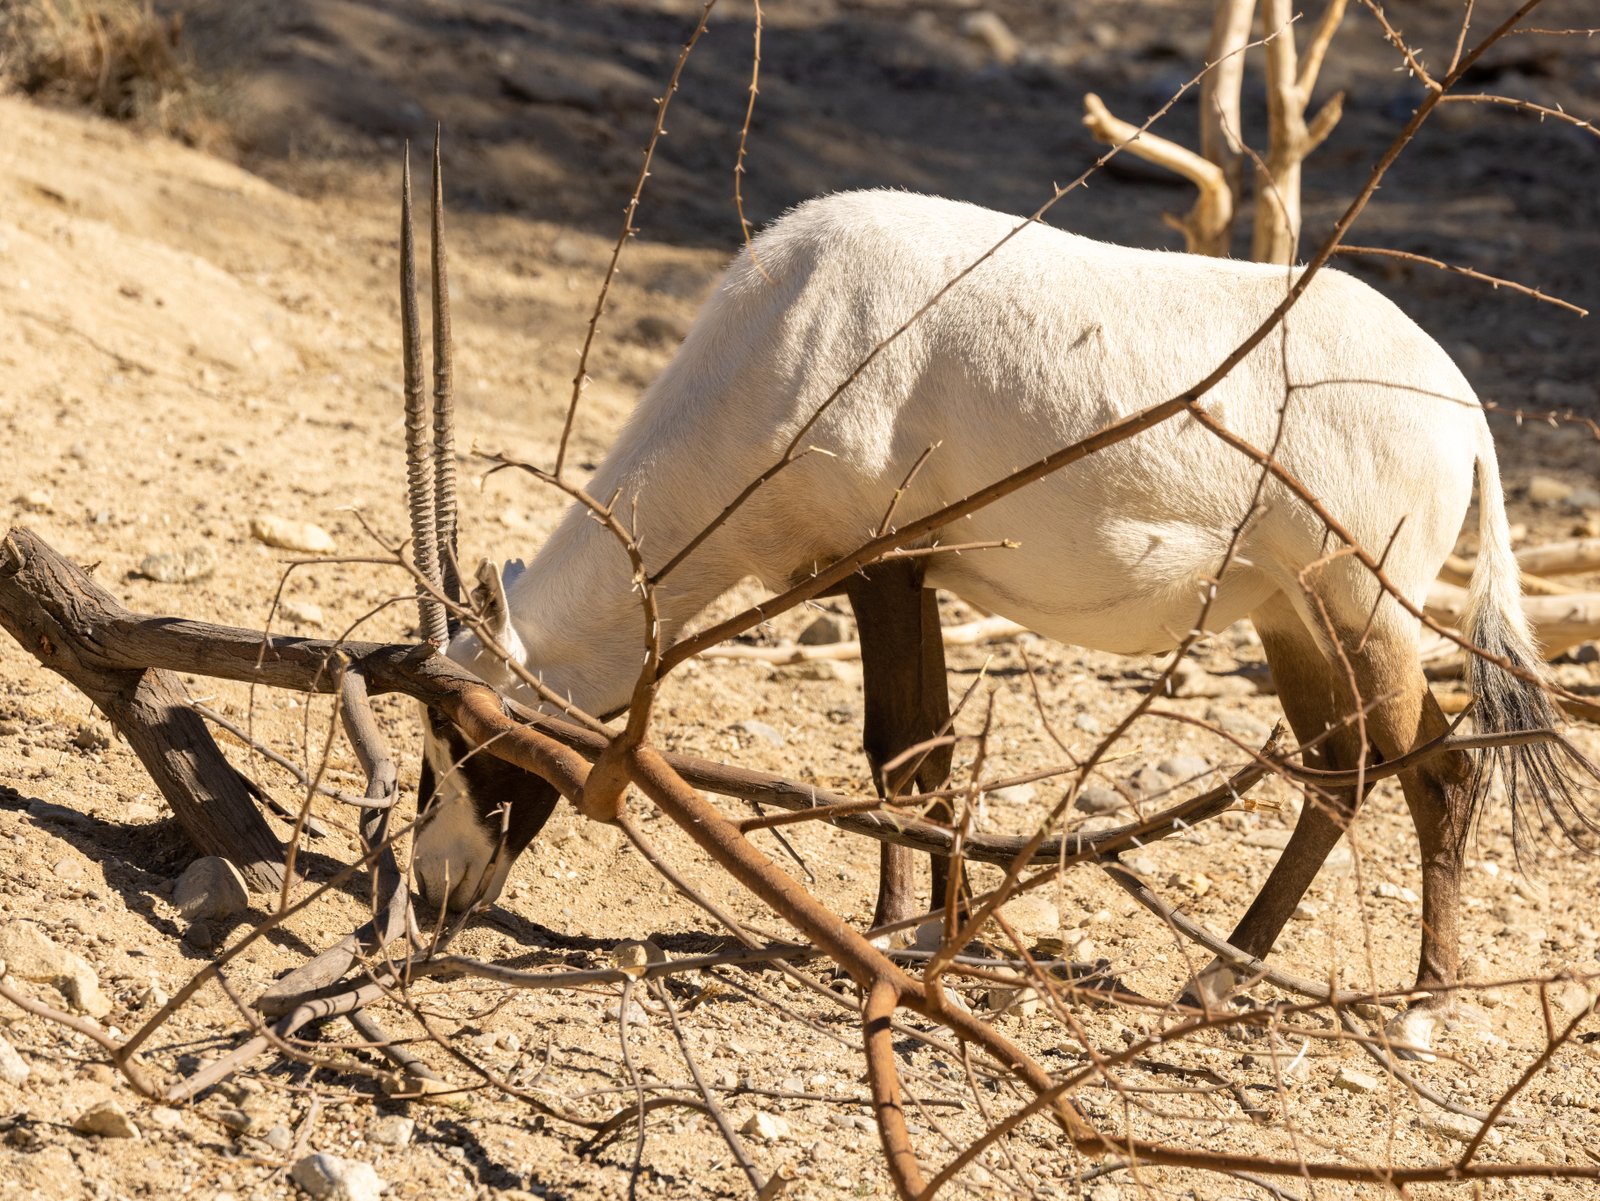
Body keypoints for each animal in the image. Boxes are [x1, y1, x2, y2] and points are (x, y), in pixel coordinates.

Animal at [410, 186, 1594, 1060]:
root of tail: (1465, 413)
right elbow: (910, 754)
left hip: (1360, 605)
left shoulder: (886, 564)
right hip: (1292, 617)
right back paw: (1215, 977)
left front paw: (916, 935)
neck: (783, 332)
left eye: (469, 736)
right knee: (1339, 771)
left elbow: (906, 750)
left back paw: (1420, 1010)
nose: (432, 884)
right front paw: (912, 924)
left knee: (1438, 771)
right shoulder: (899, 572)